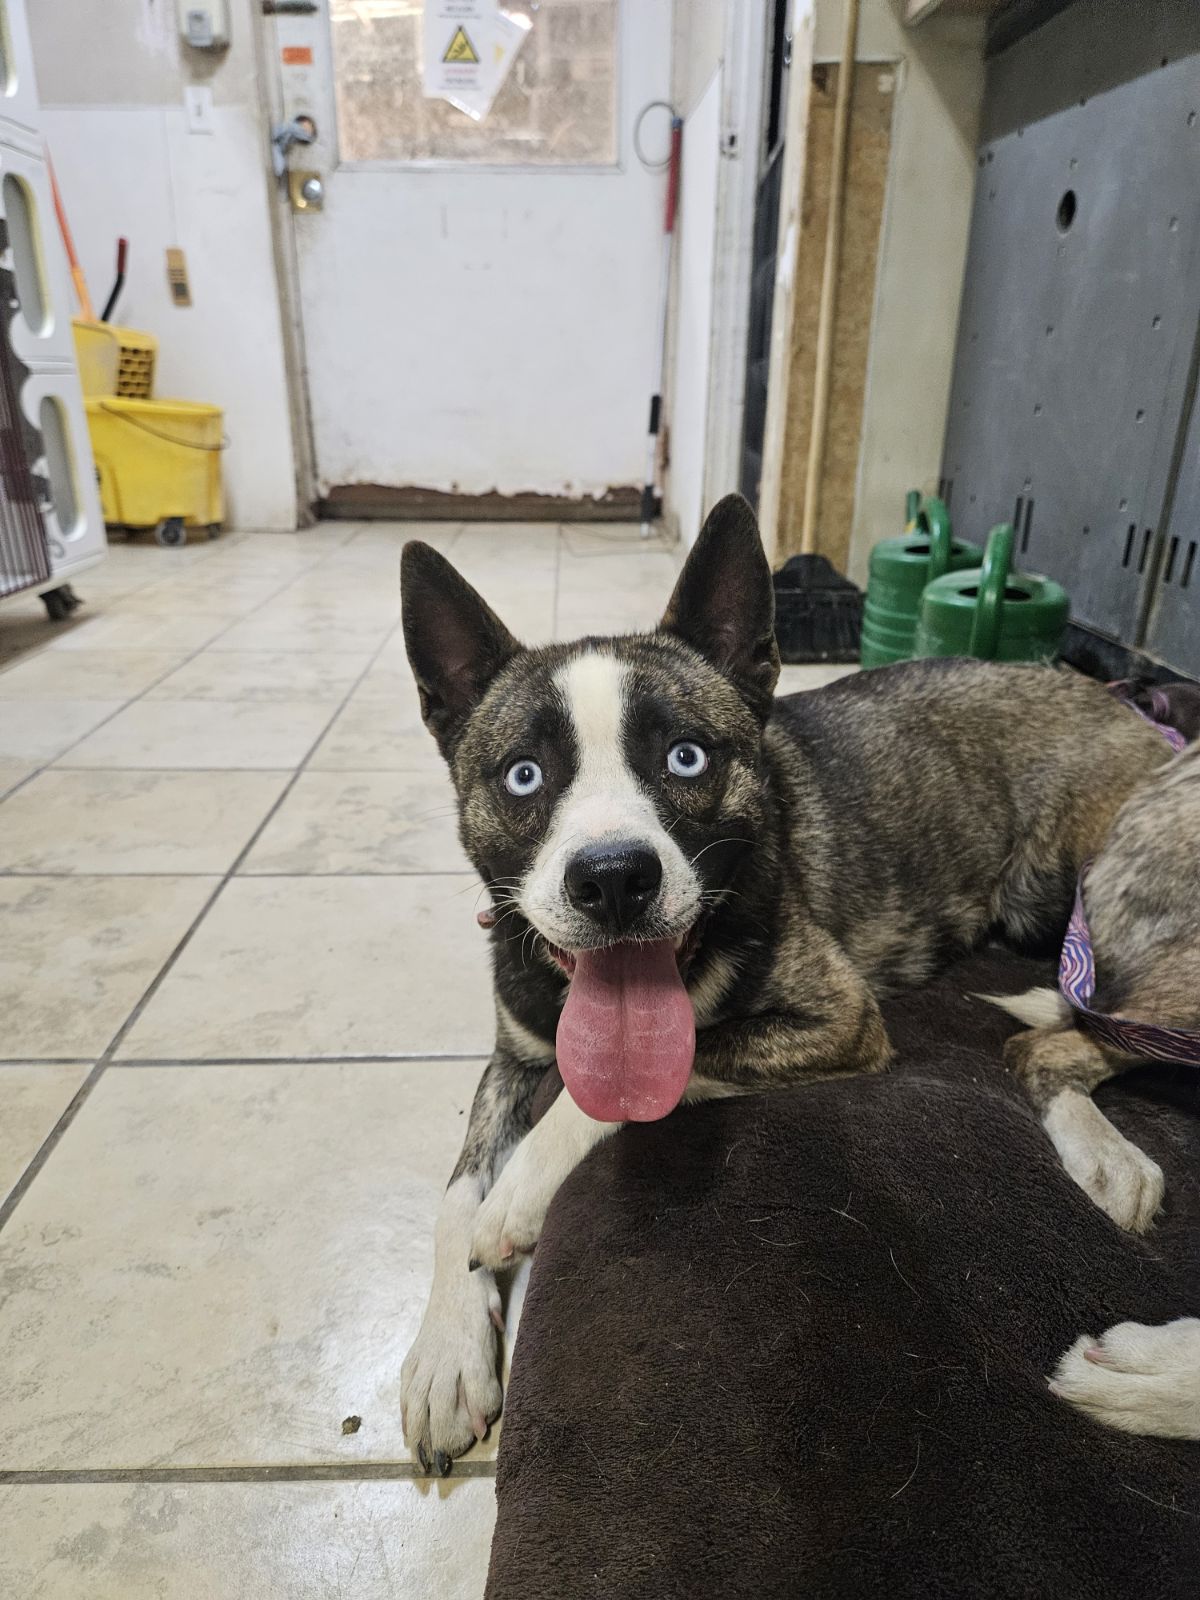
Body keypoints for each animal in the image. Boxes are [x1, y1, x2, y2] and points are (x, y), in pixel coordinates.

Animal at [400, 492, 1171, 1465]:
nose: (612, 879)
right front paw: (445, 1351)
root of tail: (1132, 714)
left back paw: (1106, 1154)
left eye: (687, 758)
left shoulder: (841, 1021)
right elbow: (455, 1191)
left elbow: (639, 1079)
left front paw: (523, 1191)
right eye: (523, 777)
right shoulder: (511, 1057)